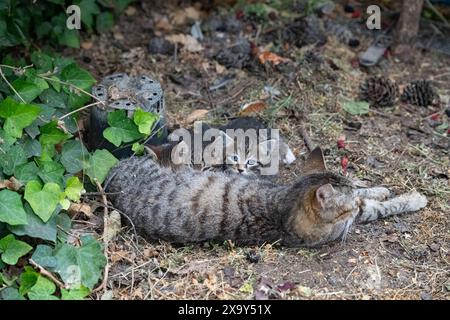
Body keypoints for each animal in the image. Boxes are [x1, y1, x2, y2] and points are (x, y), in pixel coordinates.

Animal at [104, 148, 426, 248]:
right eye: (344, 212)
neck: (283, 205)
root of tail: (112, 174)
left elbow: (362, 192)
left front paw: (376, 188)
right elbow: (373, 208)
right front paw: (412, 198)